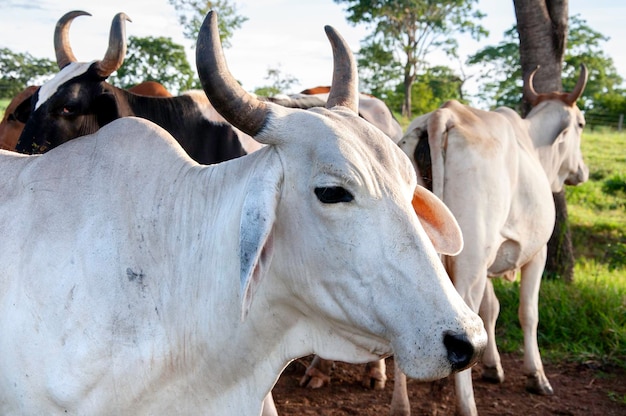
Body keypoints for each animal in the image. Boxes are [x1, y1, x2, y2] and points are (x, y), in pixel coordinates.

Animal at [392, 66, 588, 416]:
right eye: (581, 123)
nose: (582, 171)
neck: (535, 146)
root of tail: (444, 115)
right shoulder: (536, 253)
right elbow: (528, 312)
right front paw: (536, 376)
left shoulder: (490, 260)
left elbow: (491, 309)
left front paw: (493, 367)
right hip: (472, 259)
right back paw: (467, 406)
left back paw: (401, 405)